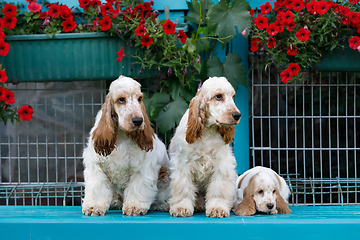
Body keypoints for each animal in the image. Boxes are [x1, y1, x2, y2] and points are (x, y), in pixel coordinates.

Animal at [82, 76, 169, 217]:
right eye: (121, 99)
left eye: (140, 98)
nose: (138, 121)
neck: (122, 135)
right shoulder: (96, 164)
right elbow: (97, 188)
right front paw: (93, 207)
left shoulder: (144, 167)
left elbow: (138, 188)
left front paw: (134, 207)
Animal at [168, 76, 240, 218]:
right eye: (218, 96)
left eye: (233, 97)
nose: (237, 115)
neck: (207, 130)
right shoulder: (182, 163)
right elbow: (183, 189)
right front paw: (181, 208)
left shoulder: (221, 164)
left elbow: (218, 190)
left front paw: (218, 208)